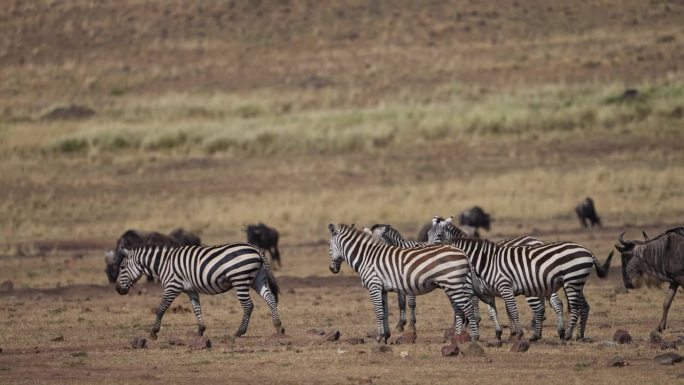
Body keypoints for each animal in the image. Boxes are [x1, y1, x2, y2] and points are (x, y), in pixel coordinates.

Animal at [114, 243, 284, 340]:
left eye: (122, 267)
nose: (117, 290)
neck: (163, 264)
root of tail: (256, 249)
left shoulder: (171, 286)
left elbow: (161, 308)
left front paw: (153, 332)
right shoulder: (191, 290)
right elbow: (196, 309)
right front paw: (200, 330)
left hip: (240, 279)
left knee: (248, 305)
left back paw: (239, 332)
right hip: (258, 279)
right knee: (270, 298)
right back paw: (278, 326)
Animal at [328, 222, 478, 342]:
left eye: (328, 245)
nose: (331, 269)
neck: (367, 257)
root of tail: (463, 252)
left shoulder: (374, 285)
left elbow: (378, 312)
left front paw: (379, 337)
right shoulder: (382, 289)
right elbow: (385, 312)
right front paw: (386, 336)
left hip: (454, 285)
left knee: (468, 309)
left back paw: (474, 338)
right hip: (453, 286)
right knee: (459, 310)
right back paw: (457, 337)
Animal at [424, 216, 612, 340]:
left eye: (438, 236)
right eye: (427, 235)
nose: (428, 251)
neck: (483, 260)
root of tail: (587, 251)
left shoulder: (478, 287)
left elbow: (482, 310)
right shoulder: (487, 290)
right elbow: (494, 311)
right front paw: (501, 333)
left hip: (568, 282)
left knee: (569, 306)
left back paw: (565, 334)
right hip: (572, 282)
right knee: (578, 305)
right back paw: (575, 334)